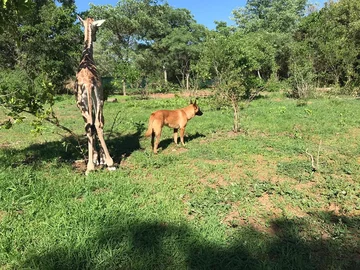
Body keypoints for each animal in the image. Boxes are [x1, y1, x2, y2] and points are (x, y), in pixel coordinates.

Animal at [75, 15, 115, 174]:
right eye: (97, 28)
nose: (96, 37)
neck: (86, 57)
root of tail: (87, 83)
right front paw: (100, 159)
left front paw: (98, 159)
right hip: (98, 99)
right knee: (96, 124)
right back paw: (106, 163)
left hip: (84, 102)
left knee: (90, 125)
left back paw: (92, 166)